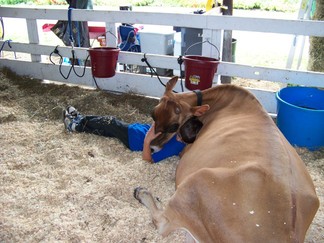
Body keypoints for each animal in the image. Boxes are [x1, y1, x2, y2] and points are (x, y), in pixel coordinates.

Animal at [134, 77, 318, 242]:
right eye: (153, 114)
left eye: (174, 126)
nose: (151, 147)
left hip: (196, 183)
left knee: (162, 223)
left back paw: (142, 193)